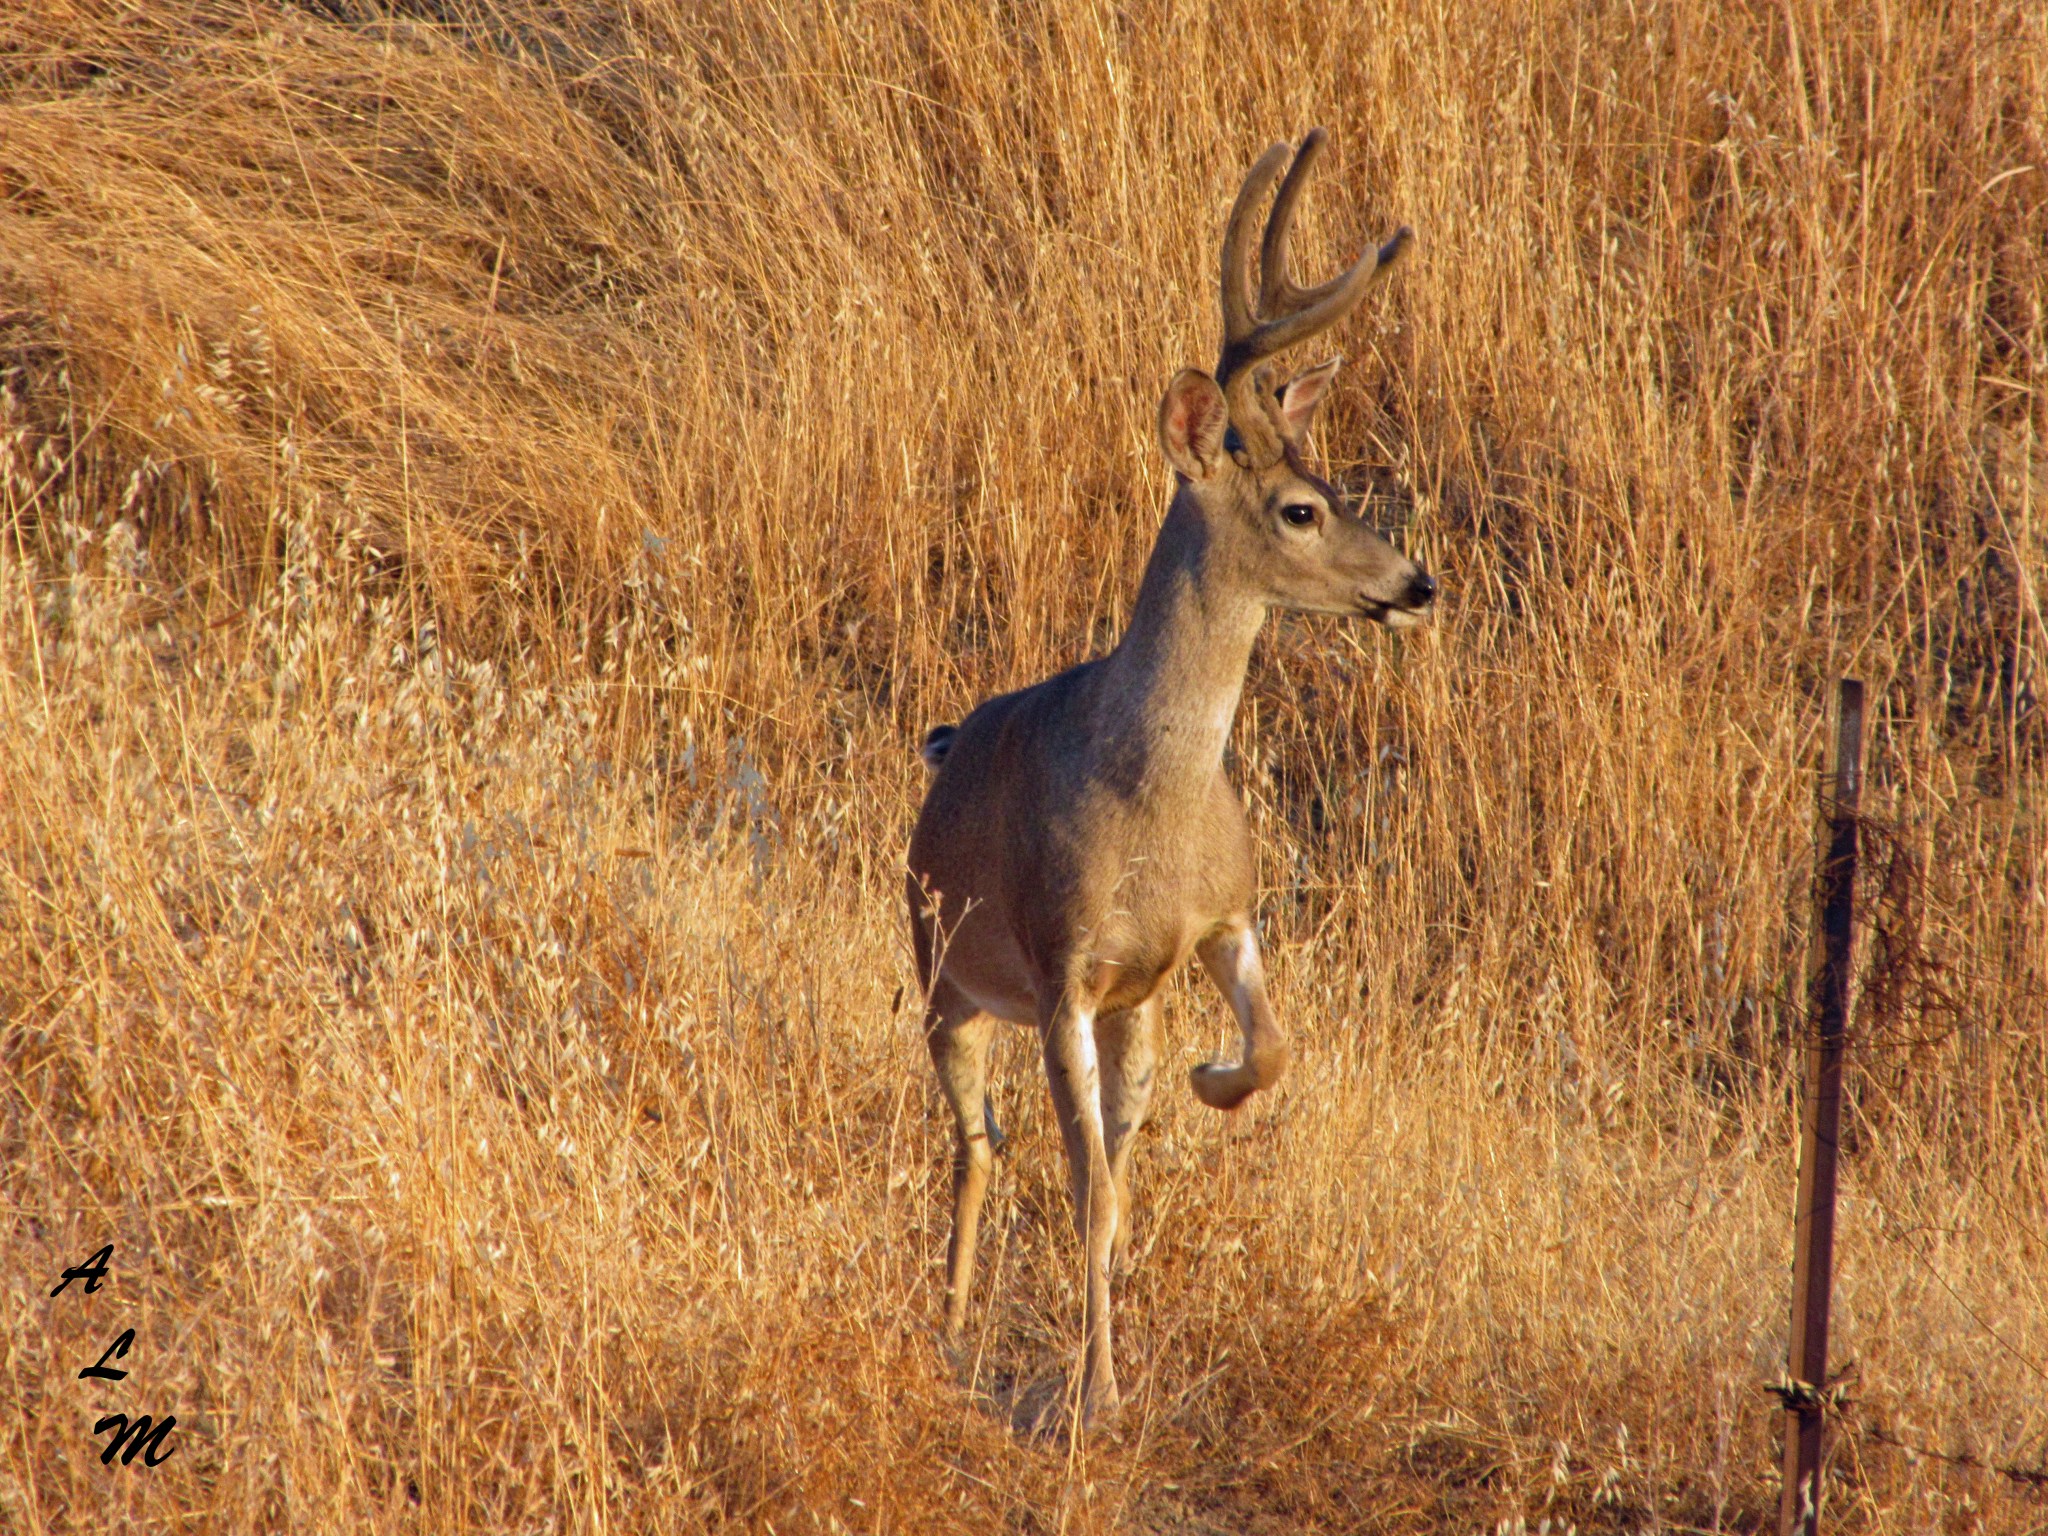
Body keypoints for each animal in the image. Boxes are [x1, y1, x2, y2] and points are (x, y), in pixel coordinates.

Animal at [905, 129, 1433, 1433]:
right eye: (1297, 508)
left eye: (1335, 485)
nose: (1415, 583)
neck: (1153, 789)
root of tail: (943, 747)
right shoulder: (1060, 967)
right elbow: (1087, 1187)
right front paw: (1093, 1397)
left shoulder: (1218, 920)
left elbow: (1268, 1056)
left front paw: (1214, 1078)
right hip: (943, 971)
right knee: (978, 1142)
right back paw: (949, 1324)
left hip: (1115, 1007)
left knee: (1068, 1145)